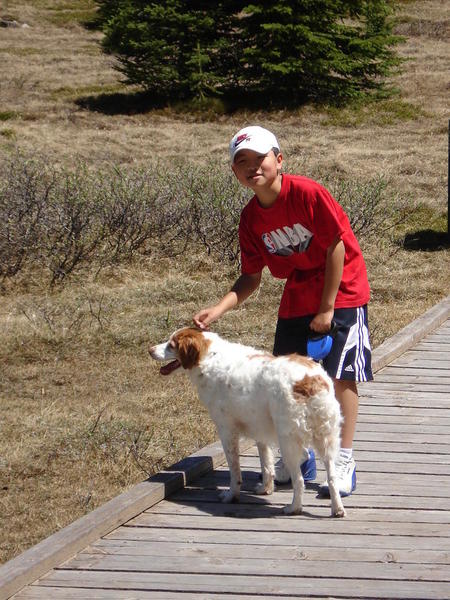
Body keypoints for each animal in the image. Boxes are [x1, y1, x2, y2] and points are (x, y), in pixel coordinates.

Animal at [150, 328, 344, 516]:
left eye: (171, 345)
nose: (150, 350)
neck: (209, 357)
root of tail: (311, 380)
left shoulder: (226, 430)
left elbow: (235, 471)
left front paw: (231, 495)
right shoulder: (260, 431)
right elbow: (266, 465)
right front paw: (266, 489)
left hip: (288, 439)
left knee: (300, 477)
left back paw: (293, 508)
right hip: (326, 440)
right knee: (331, 477)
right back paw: (337, 509)